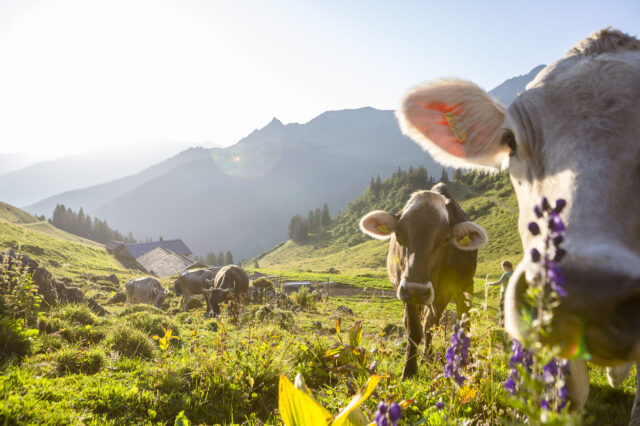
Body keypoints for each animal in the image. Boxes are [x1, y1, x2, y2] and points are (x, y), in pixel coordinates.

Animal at [359, 183, 488, 378]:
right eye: (399, 234)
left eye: (445, 239)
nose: (417, 290)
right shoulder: (407, 292)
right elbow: (413, 330)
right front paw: (409, 370)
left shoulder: (466, 288)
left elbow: (462, 326)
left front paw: (466, 364)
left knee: (430, 323)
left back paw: (427, 357)